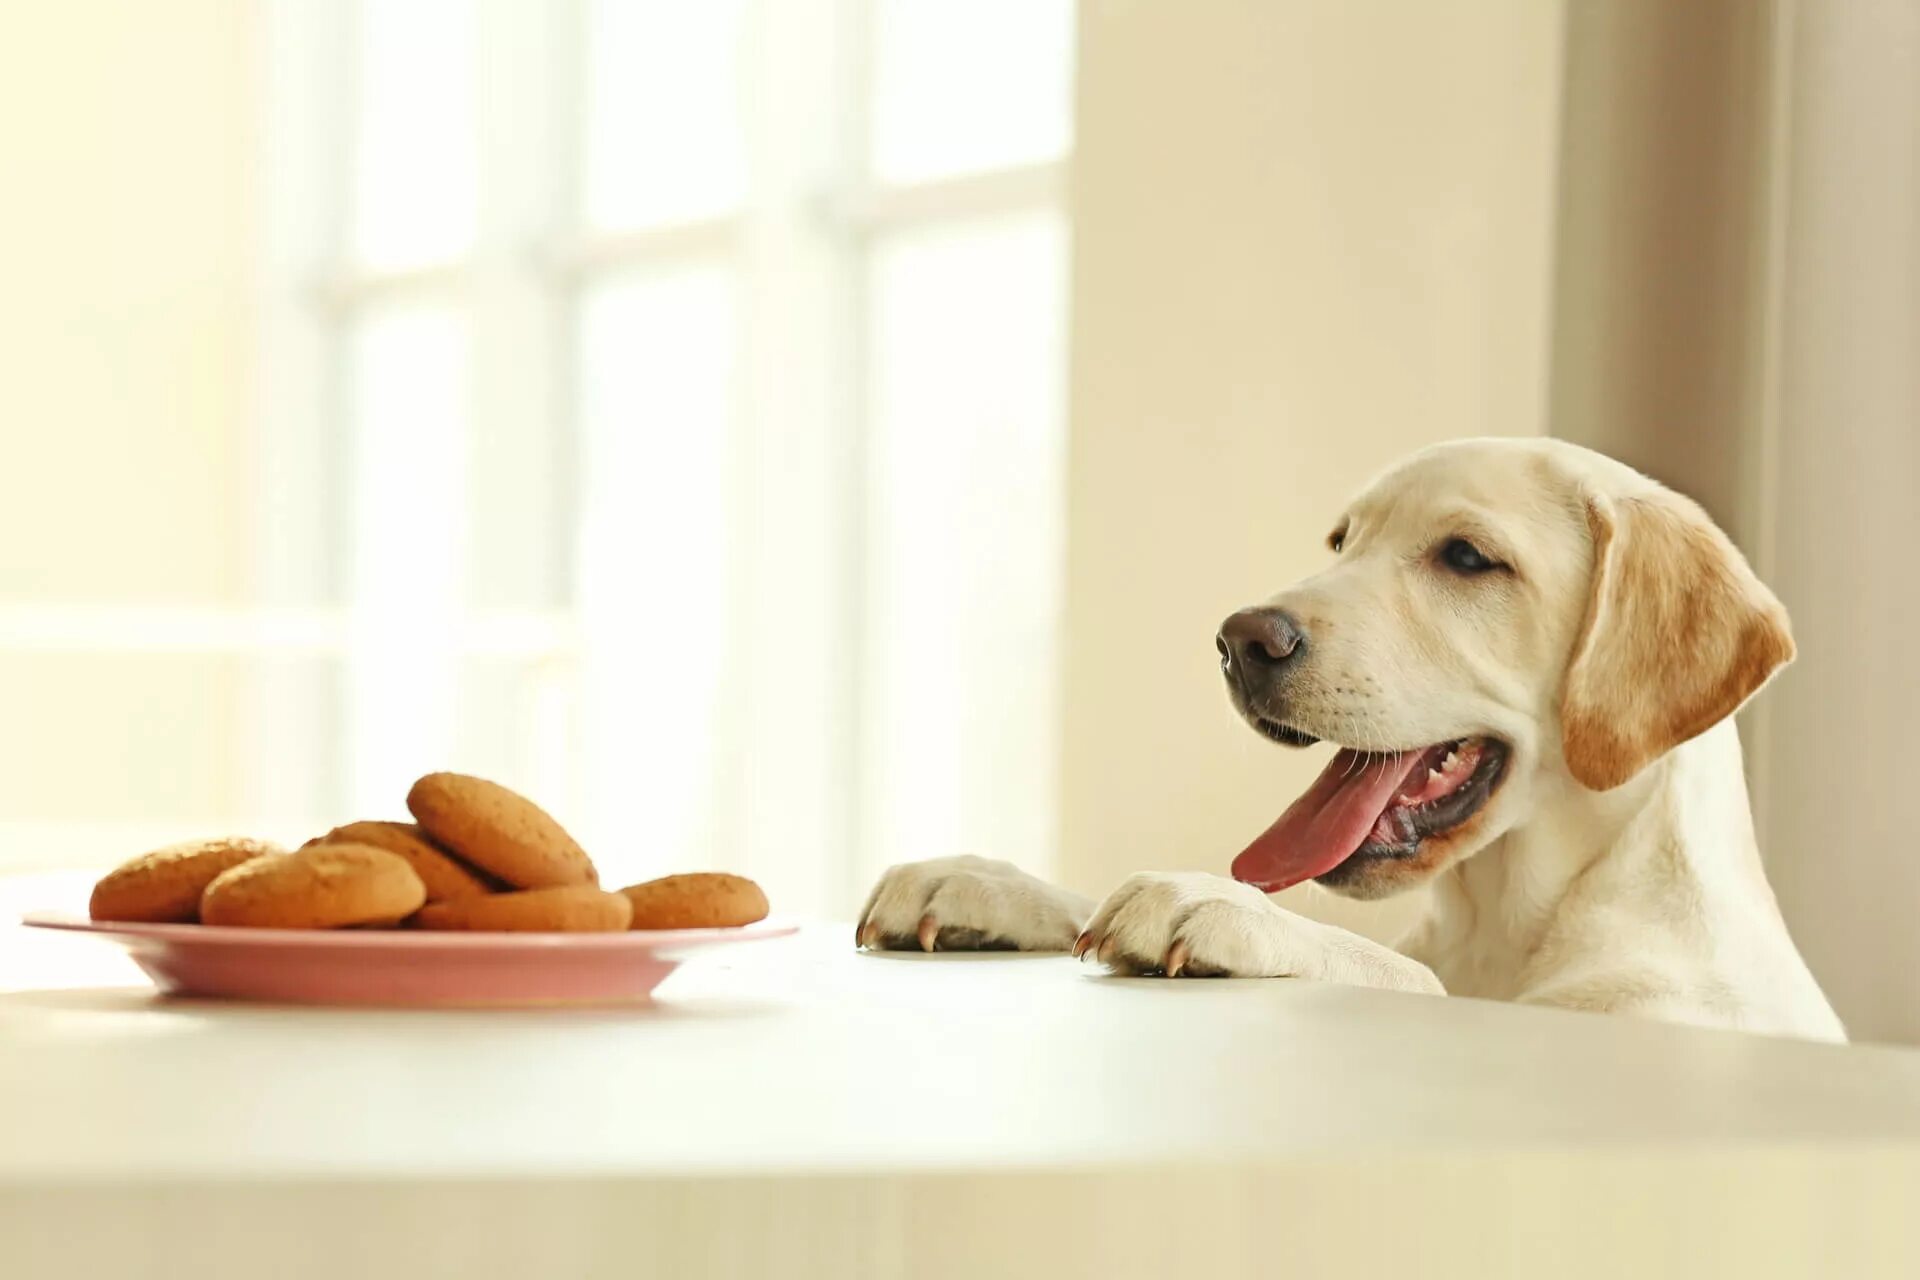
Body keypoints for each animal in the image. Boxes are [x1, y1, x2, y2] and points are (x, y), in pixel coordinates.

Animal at [856, 437, 1843, 1043]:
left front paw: (1231, 909)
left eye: (1468, 558)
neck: (1515, 923)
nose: (1240, 641)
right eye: (1340, 542)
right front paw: (985, 883)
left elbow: (1401, 975)